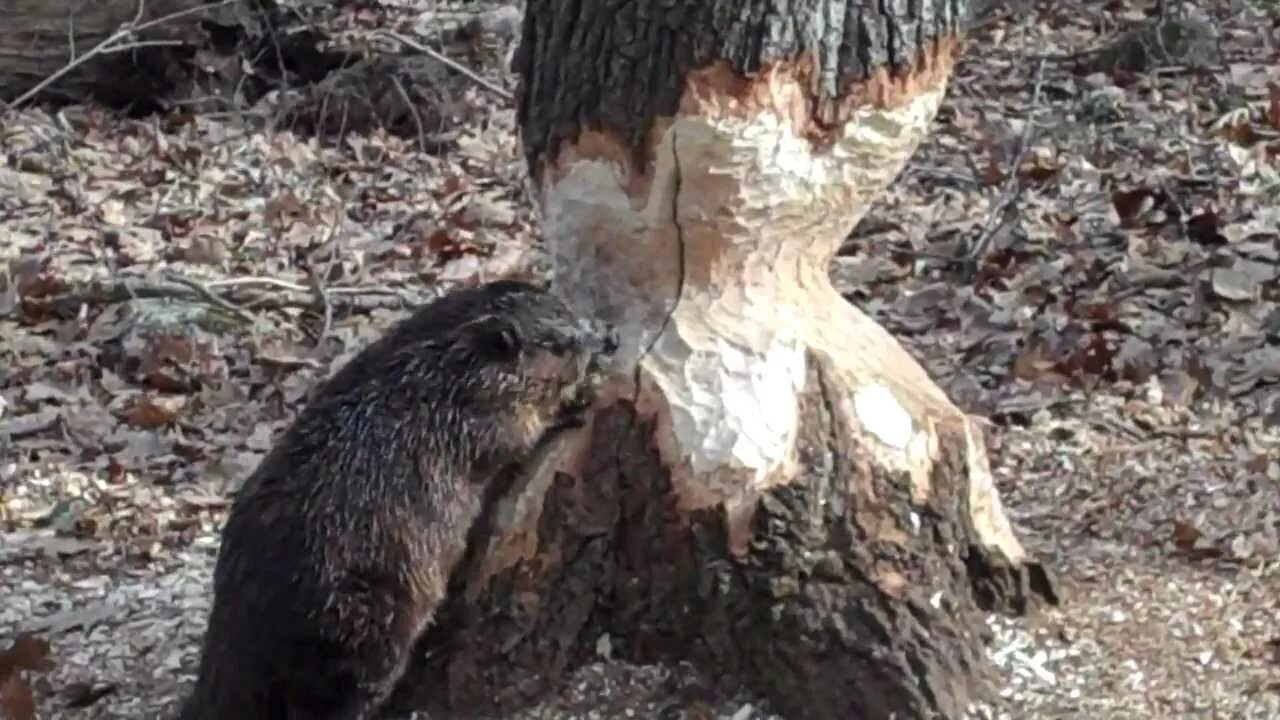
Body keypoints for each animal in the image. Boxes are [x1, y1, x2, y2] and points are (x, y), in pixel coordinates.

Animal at [179, 279, 614, 717]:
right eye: (558, 342)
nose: (605, 338)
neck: (438, 368)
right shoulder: (472, 417)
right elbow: (514, 438)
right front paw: (576, 401)